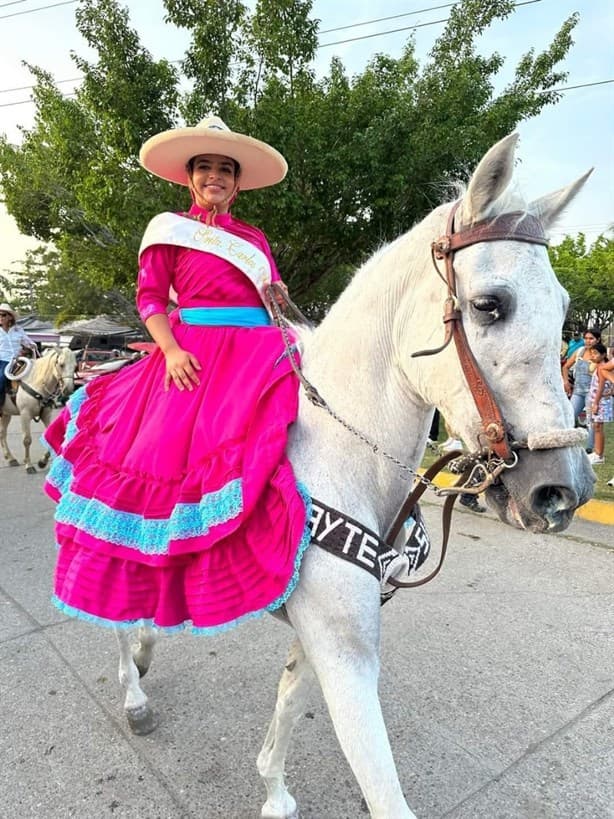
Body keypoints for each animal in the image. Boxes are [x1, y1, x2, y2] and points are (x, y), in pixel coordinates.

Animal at [113, 133, 596, 812]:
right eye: (489, 304)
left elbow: (290, 703)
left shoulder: (333, 633)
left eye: (564, 309)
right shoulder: (345, 651)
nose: (563, 492)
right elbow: (383, 788)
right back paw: (132, 691)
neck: (350, 460)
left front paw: (274, 791)